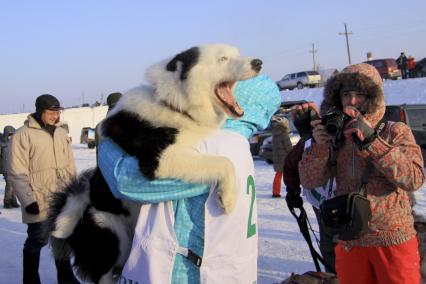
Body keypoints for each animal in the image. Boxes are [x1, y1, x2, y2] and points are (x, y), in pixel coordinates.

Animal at [49, 43, 262, 282]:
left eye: (236, 54)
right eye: (222, 59)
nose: (258, 62)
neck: (175, 106)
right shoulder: (160, 158)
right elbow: (224, 162)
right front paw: (228, 197)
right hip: (110, 233)